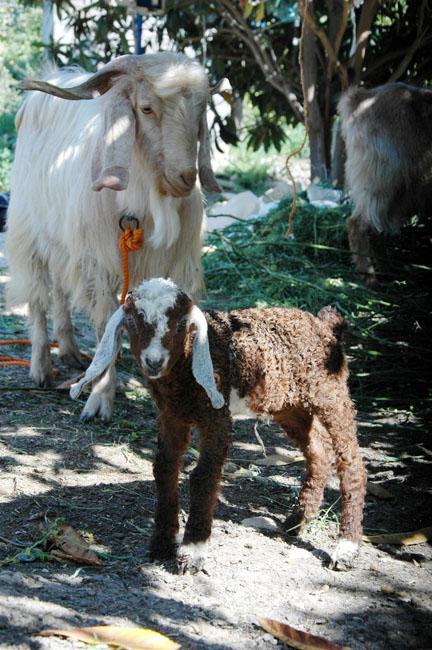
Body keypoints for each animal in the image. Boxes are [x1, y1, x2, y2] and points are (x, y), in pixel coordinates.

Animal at [6, 53, 221, 422]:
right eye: (146, 108)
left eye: (200, 111)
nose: (185, 178)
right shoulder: (100, 265)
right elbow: (106, 325)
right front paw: (100, 401)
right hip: (28, 230)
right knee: (38, 297)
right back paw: (42, 368)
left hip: (63, 242)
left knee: (60, 290)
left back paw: (71, 351)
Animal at [70, 276, 364, 568]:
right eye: (133, 320)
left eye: (181, 324)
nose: (154, 361)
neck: (185, 369)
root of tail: (325, 325)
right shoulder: (171, 416)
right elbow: (164, 470)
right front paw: (161, 545)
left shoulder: (216, 416)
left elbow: (203, 476)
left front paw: (193, 551)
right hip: (289, 405)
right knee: (319, 452)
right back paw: (296, 522)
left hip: (331, 394)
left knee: (351, 463)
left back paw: (346, 547)